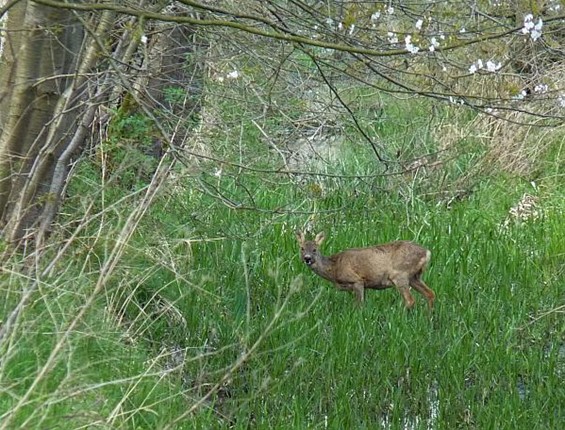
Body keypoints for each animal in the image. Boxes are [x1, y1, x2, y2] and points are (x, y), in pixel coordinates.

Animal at [294, 232, 434, 310]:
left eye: (315, 249)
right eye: (302, 248)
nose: (307, 258)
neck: (334, 269)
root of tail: (427, 252)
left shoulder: (357, 280)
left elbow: (359, 305)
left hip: (400, 274)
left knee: (410, 300)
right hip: (415, 277)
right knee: (430, 294)